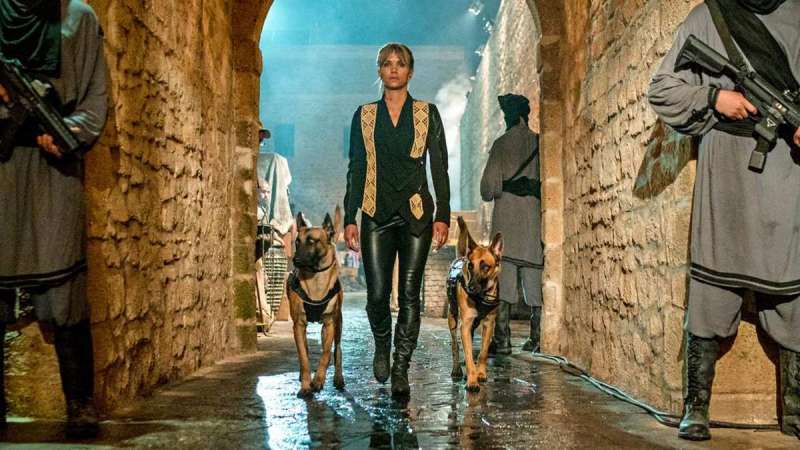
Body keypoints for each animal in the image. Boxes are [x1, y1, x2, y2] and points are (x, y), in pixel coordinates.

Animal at [286, 207, 345, 398]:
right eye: (297, 242)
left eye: (312, 241)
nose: (295, 260)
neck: (315, 278)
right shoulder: (298, 324)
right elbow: (304, 358)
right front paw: (306, 385)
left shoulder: (329, 323)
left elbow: (326, 354)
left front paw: (318, 380)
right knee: (304, 349)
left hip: (338, 323)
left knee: (337, 350)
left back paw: (338, 378)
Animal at [447, 216, 503, 392]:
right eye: (471, 266)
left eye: (485, 266)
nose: (470, 287)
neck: (481, 296)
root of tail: (461, 257)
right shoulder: (464, 325)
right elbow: (469, 355)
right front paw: (472, 380)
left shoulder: (489, 324)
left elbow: (482, 353)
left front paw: (481, 373)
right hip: (453, 320)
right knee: (455, 346)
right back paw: (457, 370)